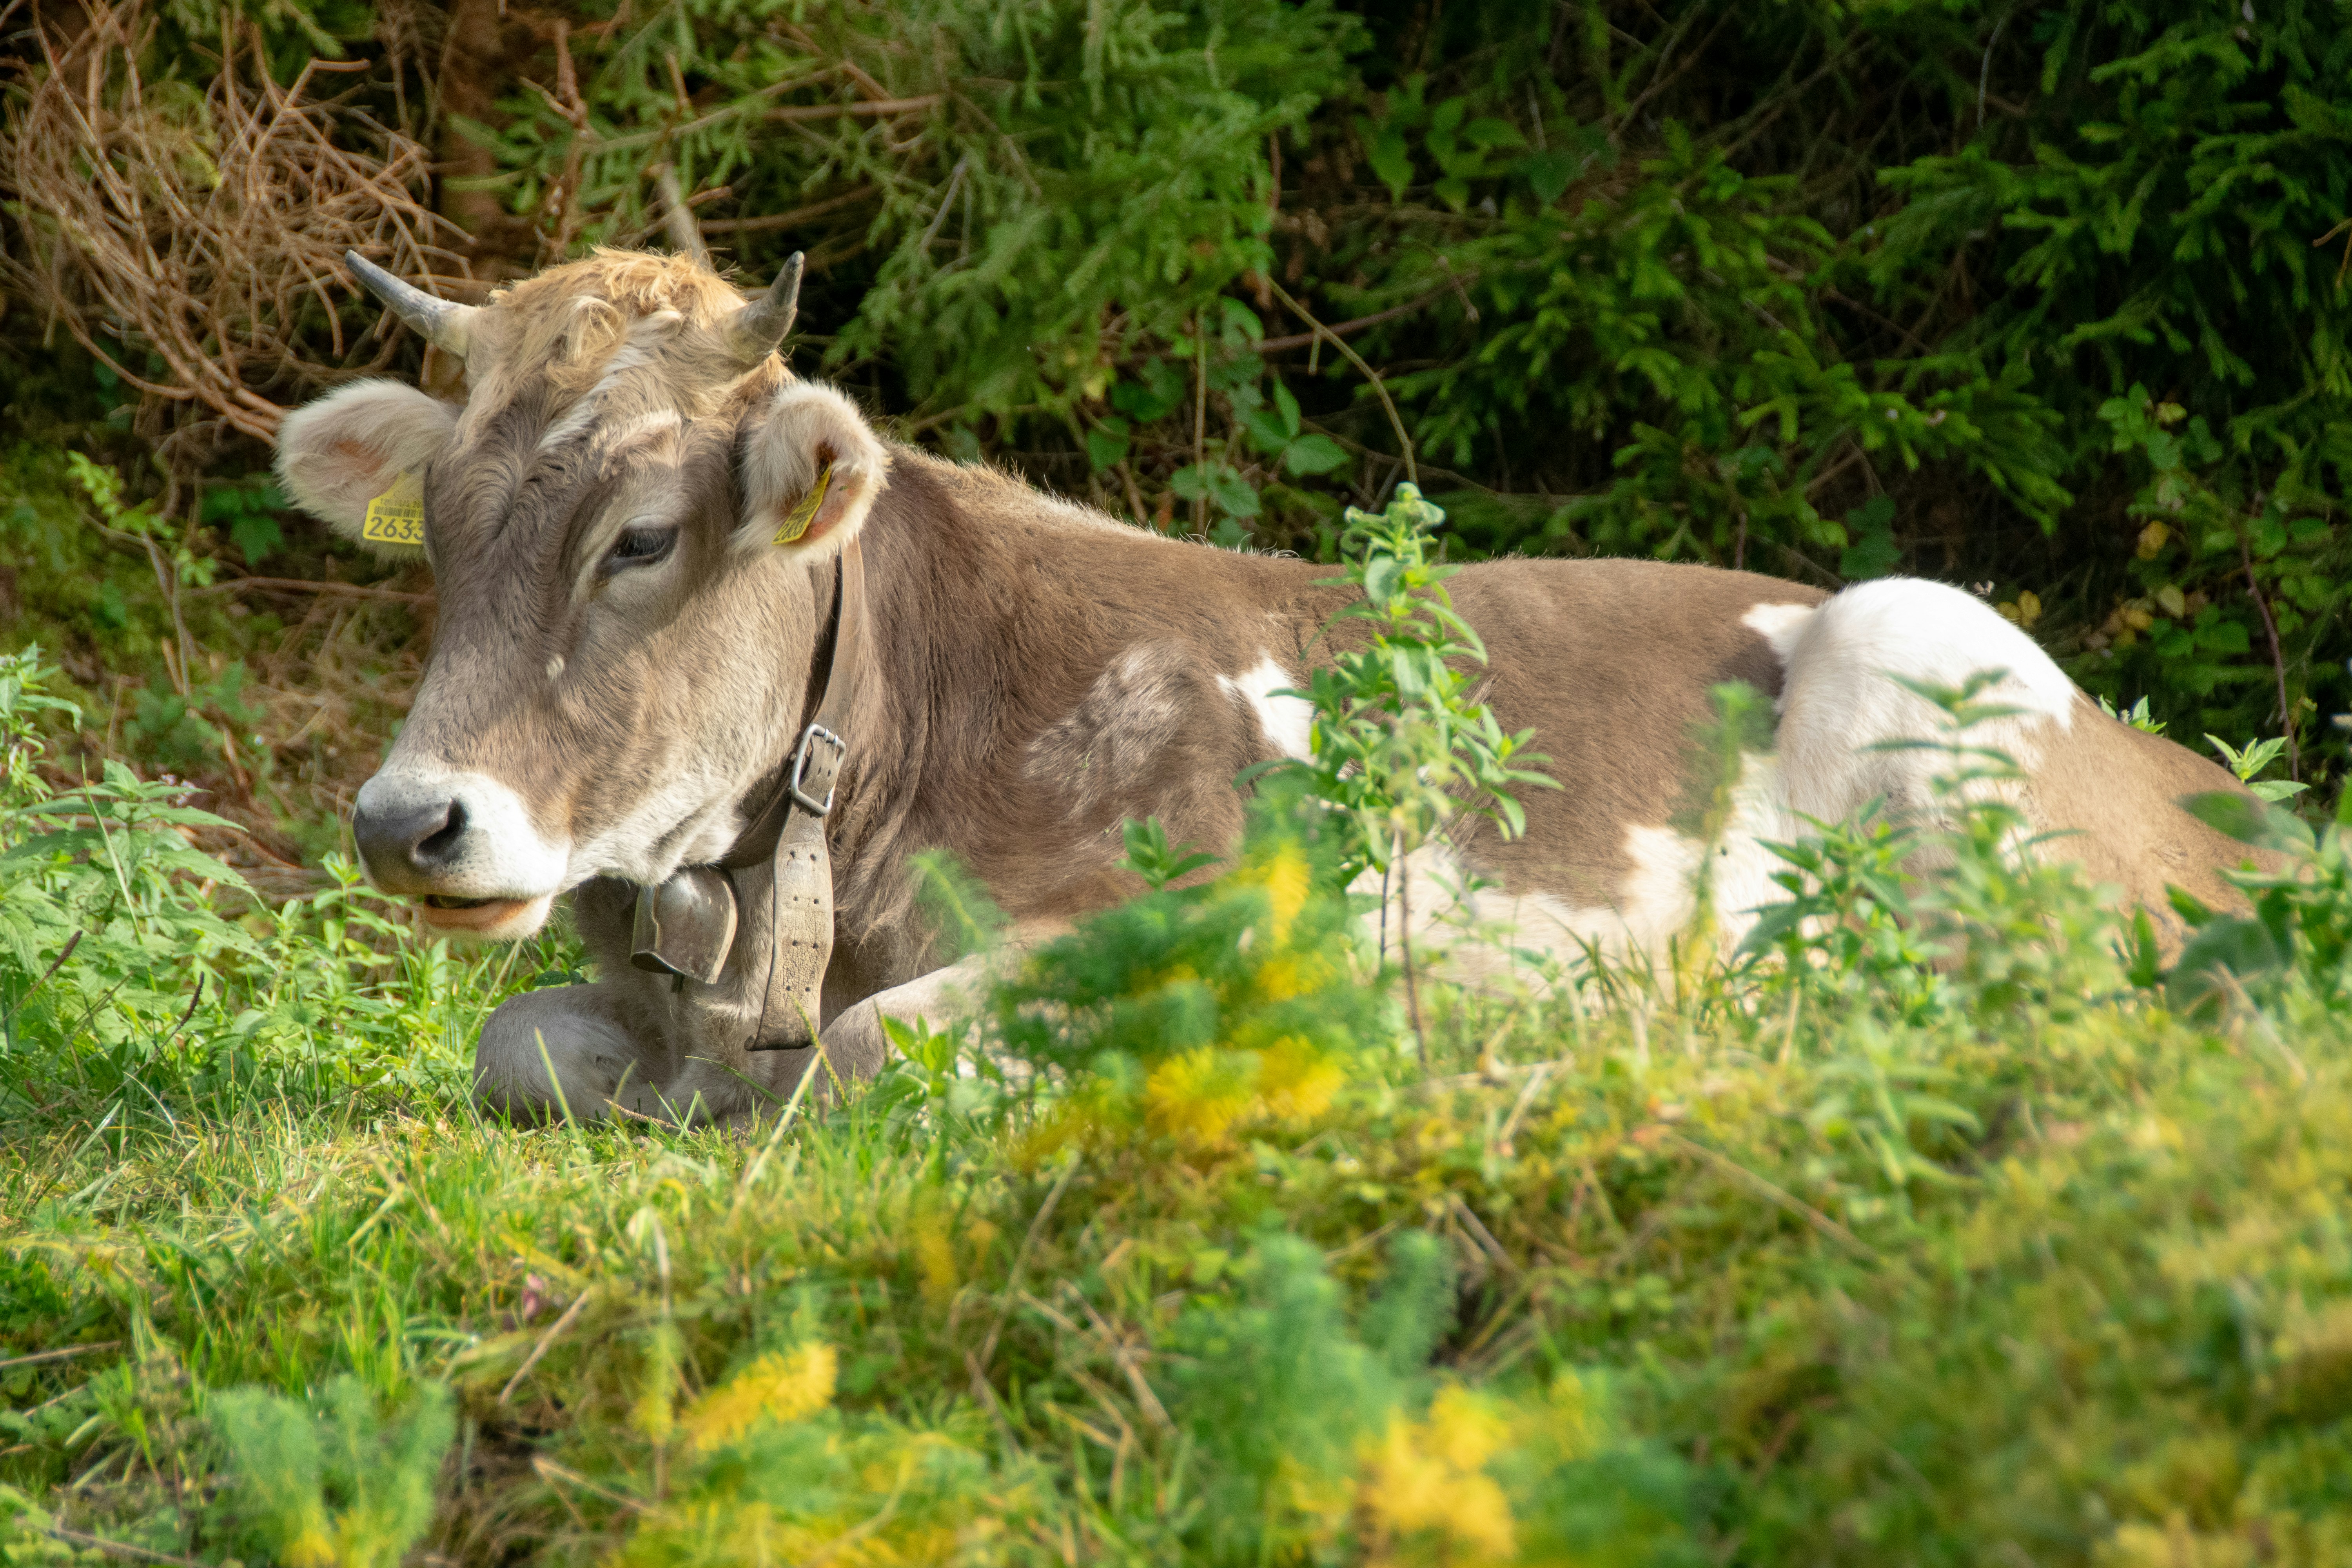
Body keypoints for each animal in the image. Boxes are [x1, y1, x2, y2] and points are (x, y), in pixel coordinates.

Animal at [274, 247, 2261, 1125]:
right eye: (443, 529)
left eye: (638, 537)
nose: (408, 818)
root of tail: (2224, 797)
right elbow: (517, 1044)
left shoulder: (1255, 915)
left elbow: (869, 1048)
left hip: (1932, 658)